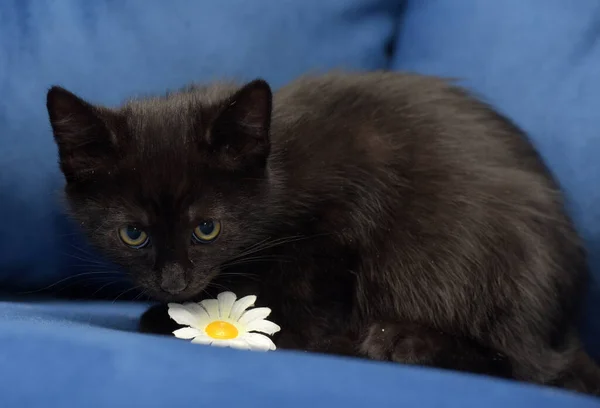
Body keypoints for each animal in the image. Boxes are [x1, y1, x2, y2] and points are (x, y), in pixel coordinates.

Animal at [48, 73, 600, 396]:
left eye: (207, 228)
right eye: (132, 234)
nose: (173, 283)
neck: (280, 167)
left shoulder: (342, 220)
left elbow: (313, 299)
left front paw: (290, 334)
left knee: (521, 364)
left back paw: (401, 340)